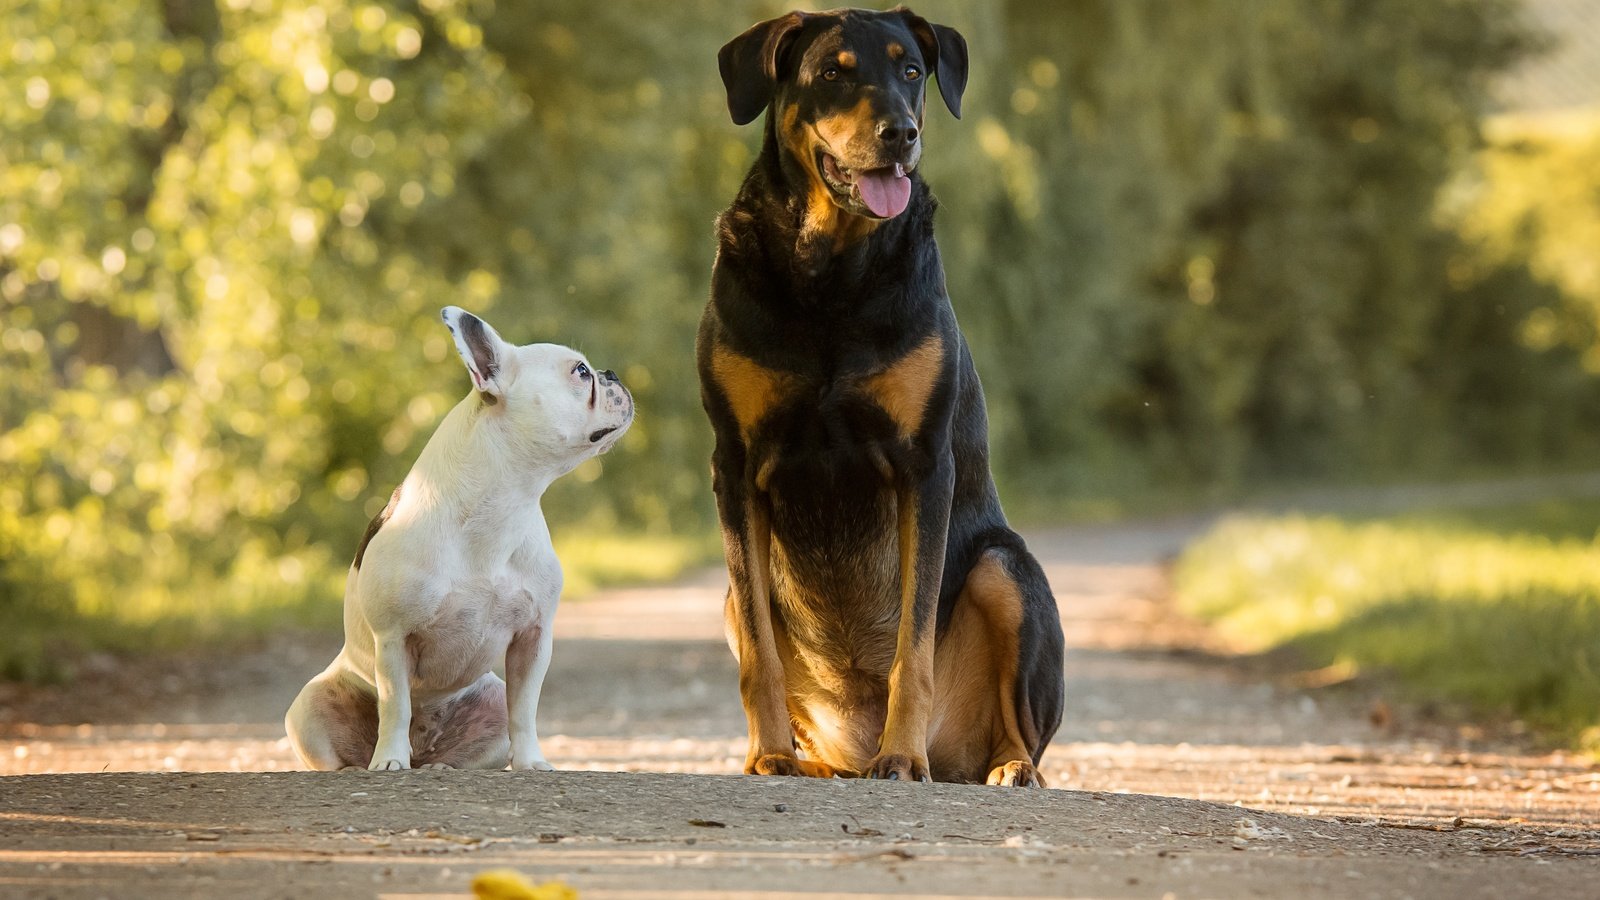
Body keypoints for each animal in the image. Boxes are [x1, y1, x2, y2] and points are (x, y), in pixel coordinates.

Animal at [284, 304, 633, 768]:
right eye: (580, 371)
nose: (611, 373)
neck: (503, 504)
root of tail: (424, 752)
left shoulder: (534, 637)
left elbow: (525, 709)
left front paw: (530, 762)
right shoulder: (393, 638)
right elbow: (395, 705)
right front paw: (390, 760)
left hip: (491, 700)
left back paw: (444, 764)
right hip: (308, 706)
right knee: (340, 750)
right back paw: (368, 765)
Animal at [697, 3, 1062, 781]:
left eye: (912, 70)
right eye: (833, 72)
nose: (901, 132)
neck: (832, 270)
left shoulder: (923, 463)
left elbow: (912, 646)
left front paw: (902, 755)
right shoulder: (735, 464)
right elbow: (762, 657)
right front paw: (768, 754)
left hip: (1006, 570)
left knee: (1023, 725)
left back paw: (1005, 766)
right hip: (728, 602)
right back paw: (809, 760)